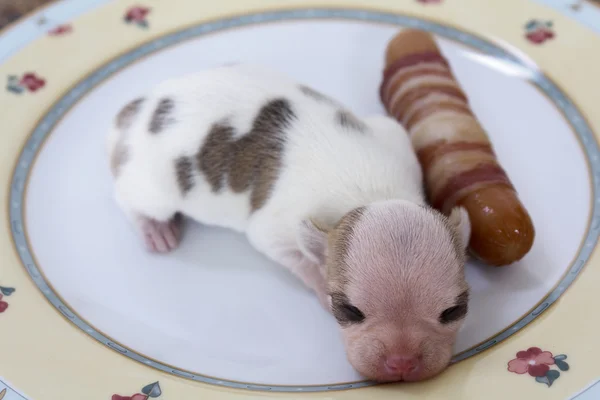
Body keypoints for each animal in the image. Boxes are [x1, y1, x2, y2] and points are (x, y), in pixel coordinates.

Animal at [109, 64, 474, 382]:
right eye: (347, 310)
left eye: (454, 311)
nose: (402, 363)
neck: (373, 193)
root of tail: (132, 114)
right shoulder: (278, 226)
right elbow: (290, 253)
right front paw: (318, 278)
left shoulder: (396, 141)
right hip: (152, 184)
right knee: (129, 198)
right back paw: (154, 229)